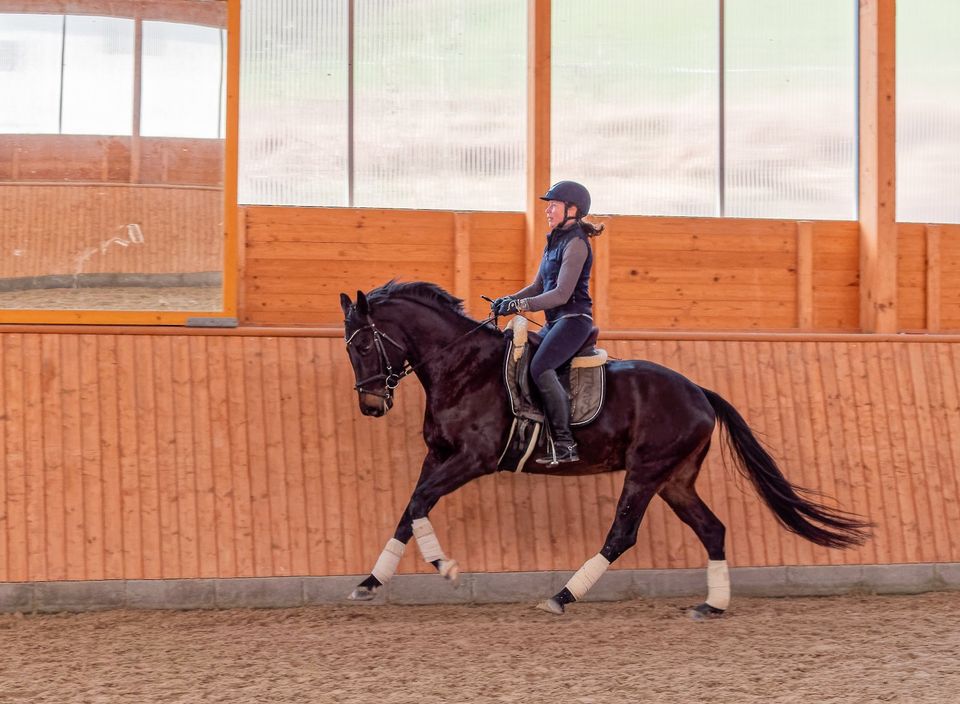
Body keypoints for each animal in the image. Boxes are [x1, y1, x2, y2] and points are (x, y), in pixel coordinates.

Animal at [340, 280, 872, 616]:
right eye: (350, 349)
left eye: (363, 346)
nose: (370, 405)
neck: (462, 366)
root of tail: (699, 392)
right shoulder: (439, 454)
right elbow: (411, 508)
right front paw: (370, 582)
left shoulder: (474, 459)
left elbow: (421, 503)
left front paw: (445, 567)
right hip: (675, 480)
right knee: (712, 529)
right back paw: (712, 605)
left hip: (646, 472)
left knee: (622, 534)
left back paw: (561, 597)